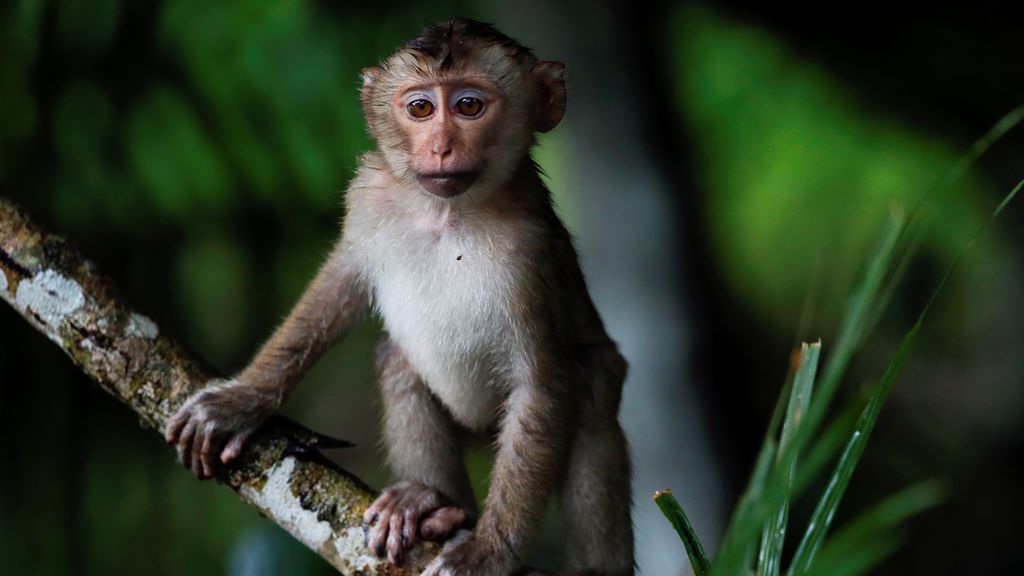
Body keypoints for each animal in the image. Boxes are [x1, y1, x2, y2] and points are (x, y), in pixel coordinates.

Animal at [165, 18, 634, 576]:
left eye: (469, 106)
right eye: (421, 109)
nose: (441, 148)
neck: (447, 213)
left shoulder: (532, 252)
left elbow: (543, 385)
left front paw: (489, 552)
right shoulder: (370, 197)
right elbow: (338, 286)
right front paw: (242, 401)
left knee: (592, 386)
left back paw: (594, 566)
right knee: (399, 362)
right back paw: (435, 502)